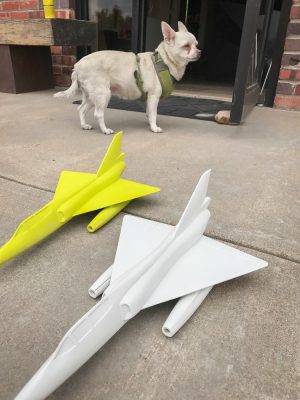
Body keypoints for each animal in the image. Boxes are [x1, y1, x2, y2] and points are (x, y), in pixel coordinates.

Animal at [55, 21, 200, 134]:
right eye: (186, 46)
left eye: (196, 45)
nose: (199, 51)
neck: (164, 61)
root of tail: (77, 66)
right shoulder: (154, 96)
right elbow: (153, 113)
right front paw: (154, 127)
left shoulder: (149, 99)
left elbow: (149, 113)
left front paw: (150, 124)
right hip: (103, 94)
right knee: (98, 114)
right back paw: (105, 130)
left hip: (91, 96)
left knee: (81, 109)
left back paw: (84, 125)